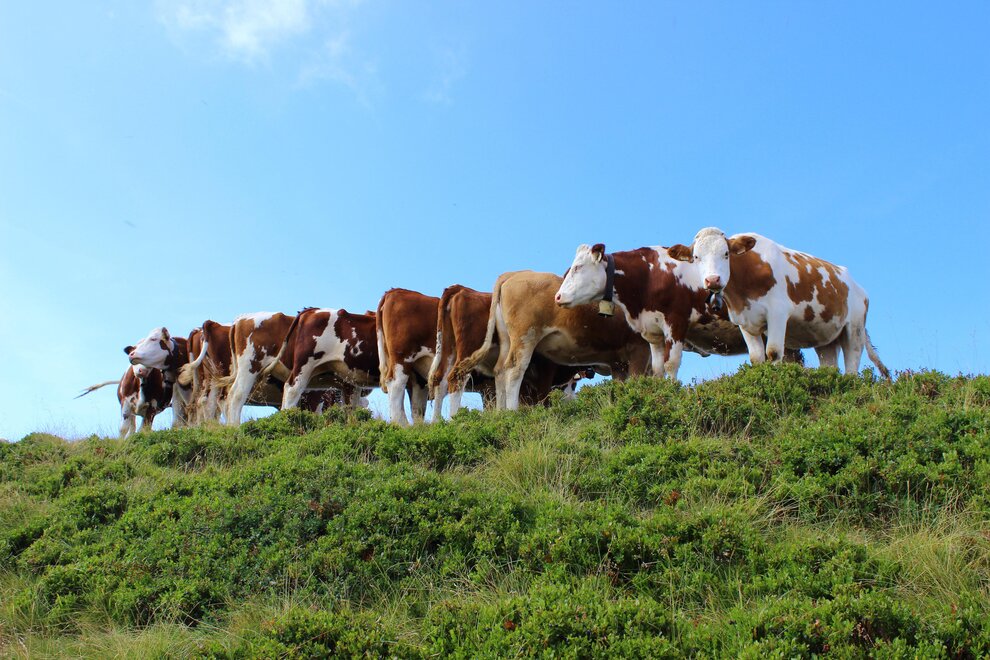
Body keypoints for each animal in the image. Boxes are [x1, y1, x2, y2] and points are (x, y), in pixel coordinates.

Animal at [428, 284, 602, 420]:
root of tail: (461, 288)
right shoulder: (545, 369)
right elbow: (542, 398)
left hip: (448, 348)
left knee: (440, 380)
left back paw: (437, 422)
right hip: (469, 348)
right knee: (457, 377)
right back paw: (455, 419)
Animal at [452, 271, 652, 410]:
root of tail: (513, 273)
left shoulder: (618, 363)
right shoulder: (639, 350)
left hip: (507, 340)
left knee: (500, 370)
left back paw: (501, 413)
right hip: (525, 336)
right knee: (514, 370)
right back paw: (512, 411)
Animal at [554, 243, 804, 380]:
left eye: (578, 268)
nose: (557, 297)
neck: (649, 275)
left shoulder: (676, 321)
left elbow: (670, 364)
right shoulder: (651, 328)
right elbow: (657, 369)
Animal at [664, 227, 890, 377]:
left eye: (726, 254)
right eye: (696, 257)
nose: (712, 280)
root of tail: (856, 285)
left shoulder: (778, 314)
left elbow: (773, 352)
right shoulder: (744, 321)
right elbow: (756, 358)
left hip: (854, 328)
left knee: (852, 363)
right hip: (825, 337)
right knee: (829, 365)